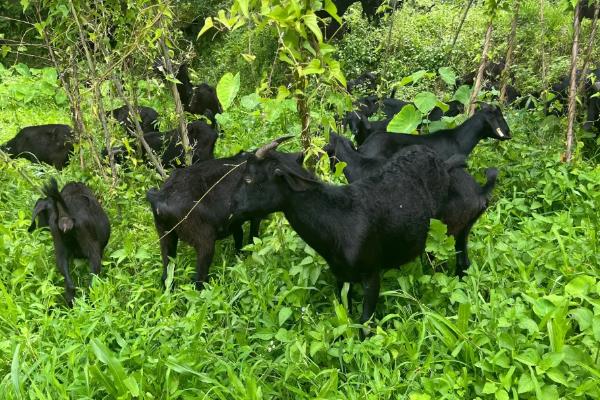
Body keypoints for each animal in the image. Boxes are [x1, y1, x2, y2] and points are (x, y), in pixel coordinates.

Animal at [28, 178, 110, 306]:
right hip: (93, 252)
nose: (40, 227)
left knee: (70, 286)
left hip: (59, 248)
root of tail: (65, 219)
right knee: (92, 284)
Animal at [232, 139, 462, 330]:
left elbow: (365, 322)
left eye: (249, 179)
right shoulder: (340, 275)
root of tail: (436, 157)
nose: (233, 208)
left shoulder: (371, 272)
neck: (338, 220)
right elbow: (345, 311)